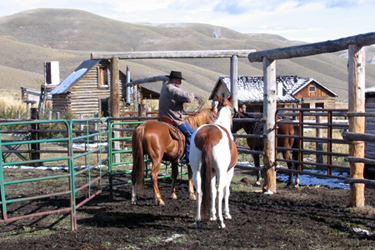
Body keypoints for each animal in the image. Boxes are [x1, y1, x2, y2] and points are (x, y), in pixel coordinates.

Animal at [189, 95, 239, 229]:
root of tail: (208, 136)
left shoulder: (211, 172)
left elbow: (211, 191)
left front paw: (212, 215)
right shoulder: (229, 171)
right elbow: (225, 192)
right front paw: (226, 214)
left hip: (196, 170)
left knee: (200, 192)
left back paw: (197, 220)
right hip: (221, 172)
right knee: (220, 191)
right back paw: (221, 221)